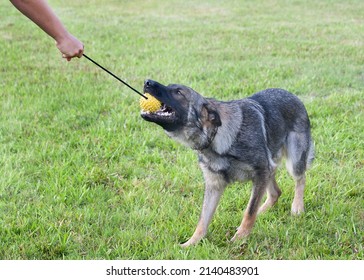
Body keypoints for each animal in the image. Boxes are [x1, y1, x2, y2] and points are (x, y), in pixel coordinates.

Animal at [141, 79, 314, 247]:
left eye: (178, 92)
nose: (147, 82)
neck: (217, 136)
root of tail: (292, 96)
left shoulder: (261, 171)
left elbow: (249, 211)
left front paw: (239, 239)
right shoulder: (215, 185)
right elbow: (203, 220)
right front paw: (191, 243)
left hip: (292, 162)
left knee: (300, 179)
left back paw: (297, 207)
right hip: (269, 168)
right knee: (275, 193)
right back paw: (262, 211)